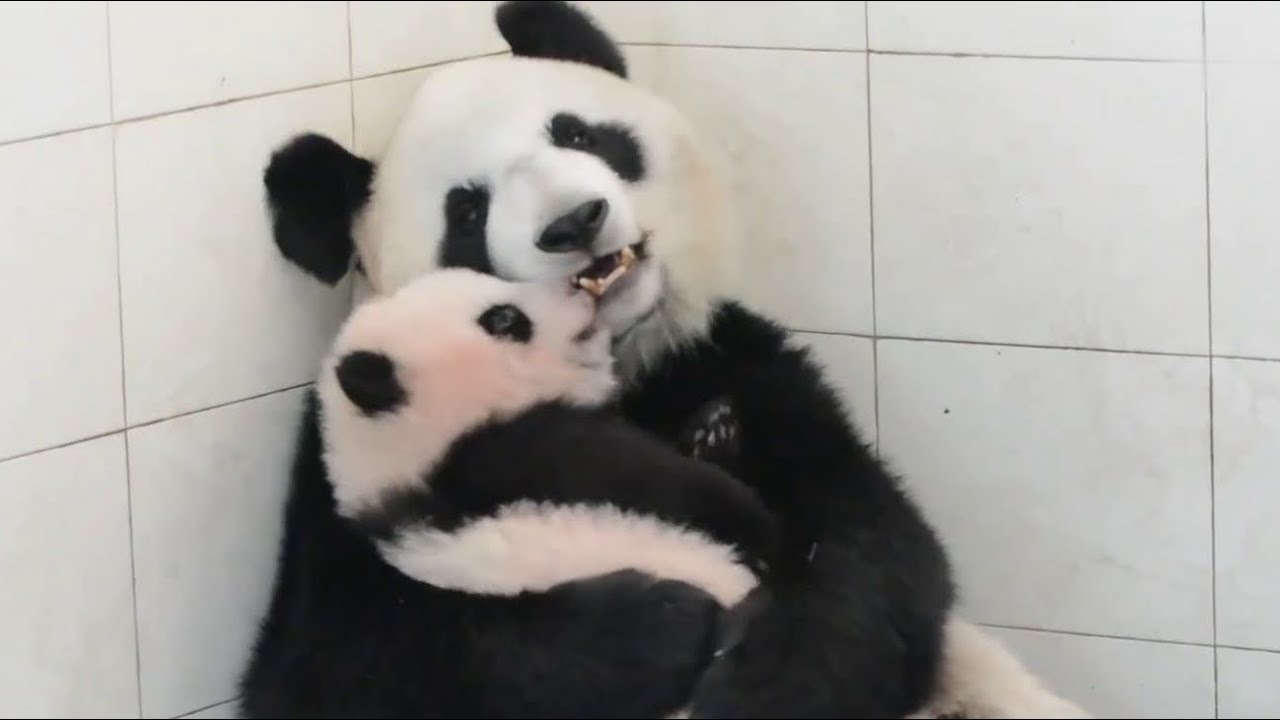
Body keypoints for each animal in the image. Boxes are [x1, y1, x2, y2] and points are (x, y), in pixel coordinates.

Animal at [316, 266, 777, 616]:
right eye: (503, 318)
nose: (576, 284)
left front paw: (713, 428)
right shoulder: (501, 455)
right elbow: (642, 473)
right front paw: (754, 522)